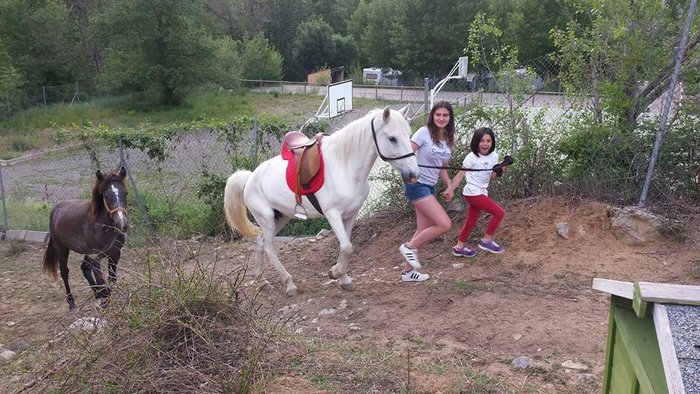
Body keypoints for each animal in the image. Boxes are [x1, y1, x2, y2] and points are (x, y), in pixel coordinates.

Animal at [42, 165, 129, 308]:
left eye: (125, 193)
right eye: (106, 196)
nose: (122, 224)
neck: (103, 227)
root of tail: (55, 210)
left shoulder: (115, 254)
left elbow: (112, 279)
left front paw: (104, 297)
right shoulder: (96, 258)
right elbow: (102, 281)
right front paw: (105, 301)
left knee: (84, 267)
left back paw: (96, 294)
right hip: (62, 248)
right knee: (64, 272)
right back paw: (71, 302)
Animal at [227, 106, 418, 294]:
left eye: (408, 134)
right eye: (392, 138)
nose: (413, 174)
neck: (344, 166)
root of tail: (250, 178)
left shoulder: (351, 215)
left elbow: (345, 246)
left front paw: (343, 278)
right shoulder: (332, 214)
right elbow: (347, 246)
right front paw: (335, 273)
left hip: (280, 217)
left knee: (260, 242)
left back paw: (262, 281)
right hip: (266, 219)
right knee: (269, 249)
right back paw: (289, 284)